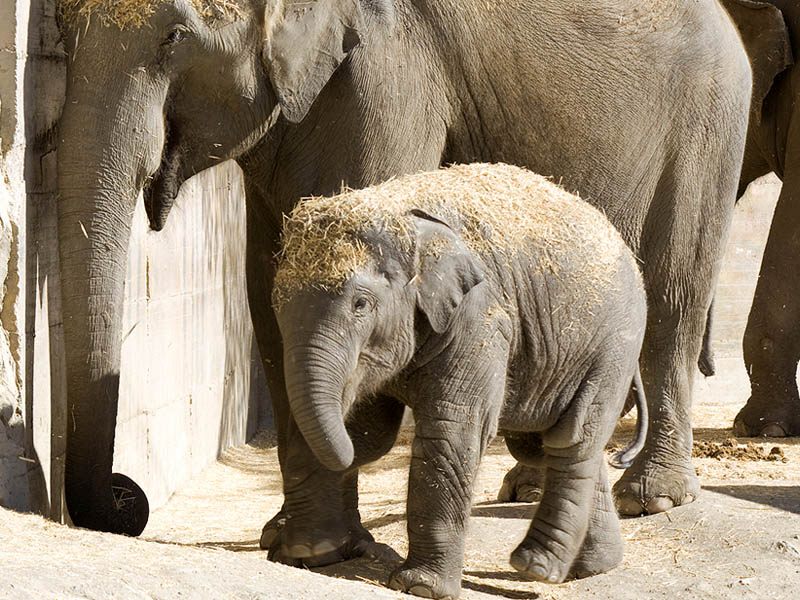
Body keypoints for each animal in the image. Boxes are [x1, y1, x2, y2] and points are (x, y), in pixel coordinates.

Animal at [56, 0, 752, 548]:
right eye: (60, 30)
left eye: (175, 36)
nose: (125, 498)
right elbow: (268, 291)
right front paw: (295, 540)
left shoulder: (389, 71)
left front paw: (318, 544)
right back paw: (530, 482)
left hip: (707, 131)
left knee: (674, 300)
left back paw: (652, 497)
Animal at [272, 163, 648, 600]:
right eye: (277, 305)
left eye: (361, 305)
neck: (403, 219)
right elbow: (368, 433)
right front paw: (310, 552)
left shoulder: (480, 317)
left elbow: (451, 429)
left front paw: (419, 587)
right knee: (553, 443)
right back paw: (593, 567)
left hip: (614, 344)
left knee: (572, 439)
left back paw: (535, 566)